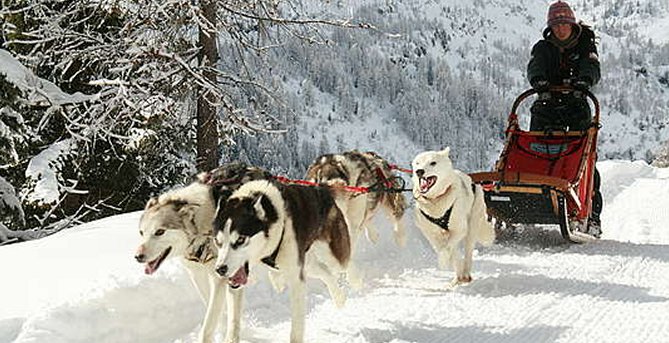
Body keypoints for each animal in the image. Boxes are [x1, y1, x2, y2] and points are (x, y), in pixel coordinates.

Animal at [134, 162, 270, 343]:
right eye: (142, 232)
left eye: (160, 231)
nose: (138, 256)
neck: (201, 224)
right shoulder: (197, 275)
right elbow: (212, 309)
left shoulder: (219, 277)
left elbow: (208, 324)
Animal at [214, 180, 352, 343]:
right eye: (217, 241)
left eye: (240, 239)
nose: (220, 269)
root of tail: (322, 189)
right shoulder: (236, 282)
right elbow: (234, 322)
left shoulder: (296, 281)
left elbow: (296, 330)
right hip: (307, 265)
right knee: (325, 272)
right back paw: (339, 298)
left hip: (334, 256)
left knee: (347, 264)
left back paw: (356, 283)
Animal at [410, 148, 494, 288]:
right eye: (417, 163)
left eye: (433, 163)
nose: (419, 171)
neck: (436, 200)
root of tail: (475, 183)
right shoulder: (429, 231)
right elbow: (440, 247)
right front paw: (447, 259)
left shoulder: (459, 229)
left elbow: (447, 248)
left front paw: (444, 261)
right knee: (454, 250)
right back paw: (458, 276)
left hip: (471, 228)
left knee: (467, 253)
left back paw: (465, 274)